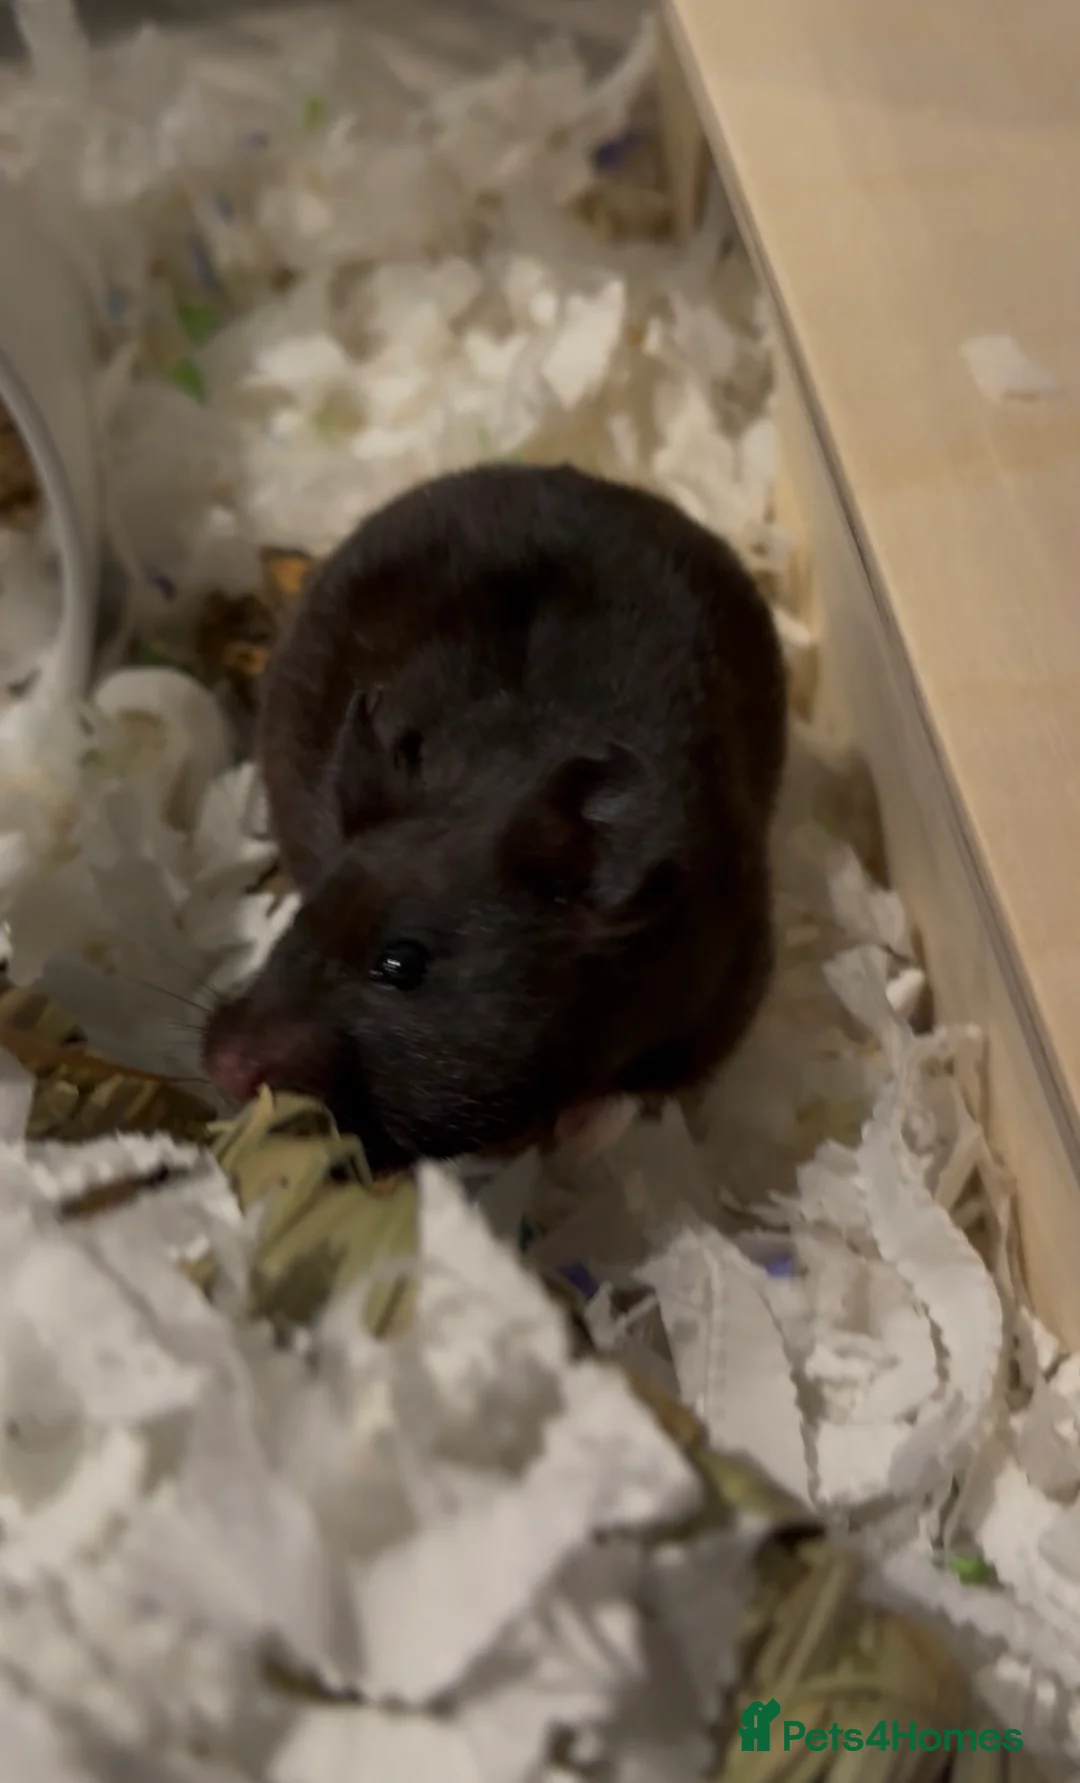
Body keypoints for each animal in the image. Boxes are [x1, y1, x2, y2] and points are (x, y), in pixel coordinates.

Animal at [201, 461, 788, 1176]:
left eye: (402, 964)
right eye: (297, 925)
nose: (224, 1068)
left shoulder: (729, 981)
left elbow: (639, 1090)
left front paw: (579, 1138)